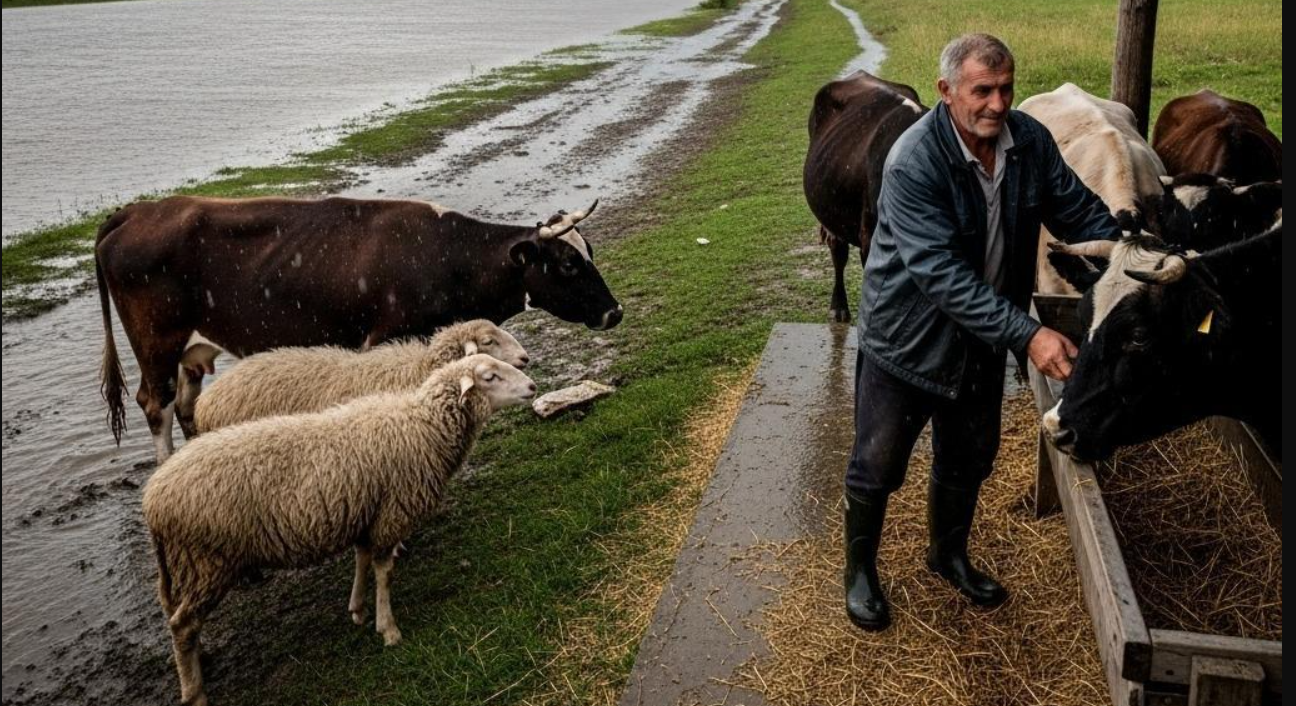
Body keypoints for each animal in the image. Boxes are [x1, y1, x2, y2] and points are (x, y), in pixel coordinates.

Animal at [142, 354, 536, 706]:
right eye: (490, 377)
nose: (533, 386)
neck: (422, 424)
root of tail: (152, 497)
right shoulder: (391, 514)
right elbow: (384, 572)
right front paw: (388, 628)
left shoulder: (367, 513)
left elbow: (362, 561)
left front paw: (358, 609)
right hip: (207, 561)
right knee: (182, 625)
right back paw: (195, 693)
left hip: (186, 565)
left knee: (176, 617)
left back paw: (199, 660)